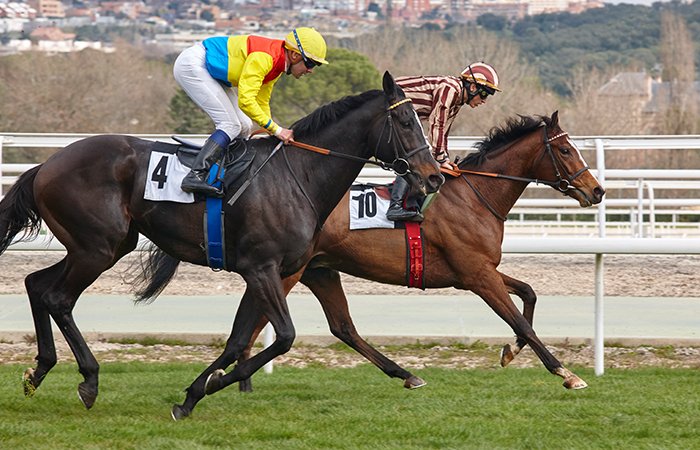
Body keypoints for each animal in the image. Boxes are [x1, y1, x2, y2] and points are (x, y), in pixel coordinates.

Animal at [0, 72, 444, 419]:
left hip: (102, 246)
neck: (298, 175)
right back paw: (89, 381)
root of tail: (48, 163)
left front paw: (195, 394)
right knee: (57, 297)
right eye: (406, 120)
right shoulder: (261, 268)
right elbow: (283, 337)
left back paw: (38, 372)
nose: (434, 176)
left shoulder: (269, 272)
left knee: (37, 284)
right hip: (97, 248)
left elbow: (238, 339)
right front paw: (210, 387)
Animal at [234, 111, 605, 392]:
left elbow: (529, 293)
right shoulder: (477, 275)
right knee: (256, 324)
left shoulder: (479, 270)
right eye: (566, 150)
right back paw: (239, 380)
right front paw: (566, 374)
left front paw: (510, 352)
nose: (597, 190)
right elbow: (522, 323)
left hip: (317, 269)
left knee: (339, 327)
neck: (475, 195)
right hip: (288, 272)